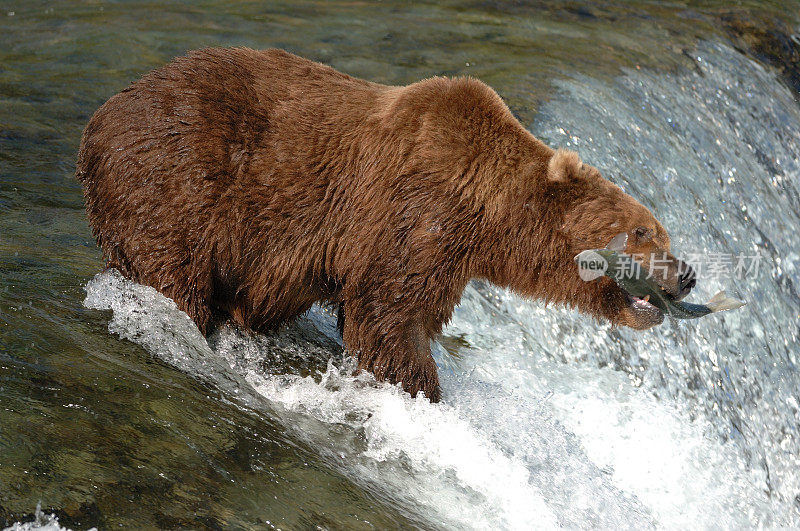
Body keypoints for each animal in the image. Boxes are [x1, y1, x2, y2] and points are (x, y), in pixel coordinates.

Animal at [78, 47, 696, 404]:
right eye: (645, 232)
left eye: (663, 233)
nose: (686, 273)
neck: (489, 215)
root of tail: (99, 117)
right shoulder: (415, 213)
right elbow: (390, 312)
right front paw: (422, 389)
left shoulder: (447, 252)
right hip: (177, 174)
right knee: (173, 269)